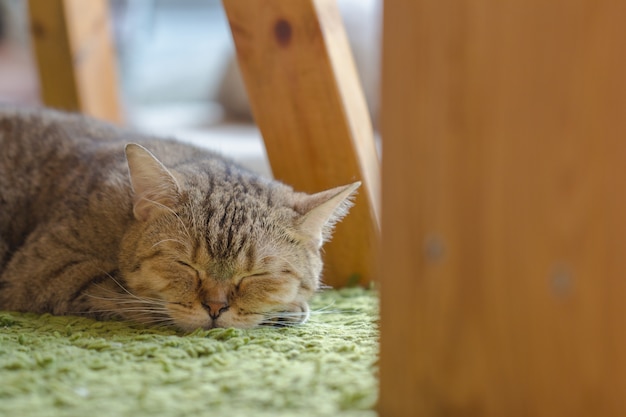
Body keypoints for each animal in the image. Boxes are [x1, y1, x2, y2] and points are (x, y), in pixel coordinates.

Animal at [0, 106, 356, 328]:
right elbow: (135, 300)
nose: (215, 307)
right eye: (185, 265)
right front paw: (289, 308)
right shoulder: (47, 271)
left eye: (257, 275)